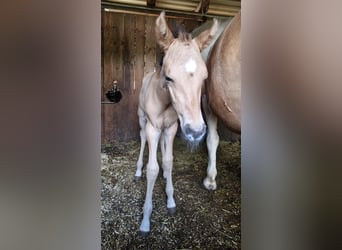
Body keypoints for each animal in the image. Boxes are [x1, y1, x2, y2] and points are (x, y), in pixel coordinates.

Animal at [135, 10, 218, 235]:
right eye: (169, 77)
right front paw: (145, 221)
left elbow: (169, 160)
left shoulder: (171, 127)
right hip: (142, 118)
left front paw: (170, 200)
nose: (196, 131)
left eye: (205, 77)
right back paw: (137, 171)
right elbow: (152, 169)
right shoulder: (153, 127)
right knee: (142, 139)